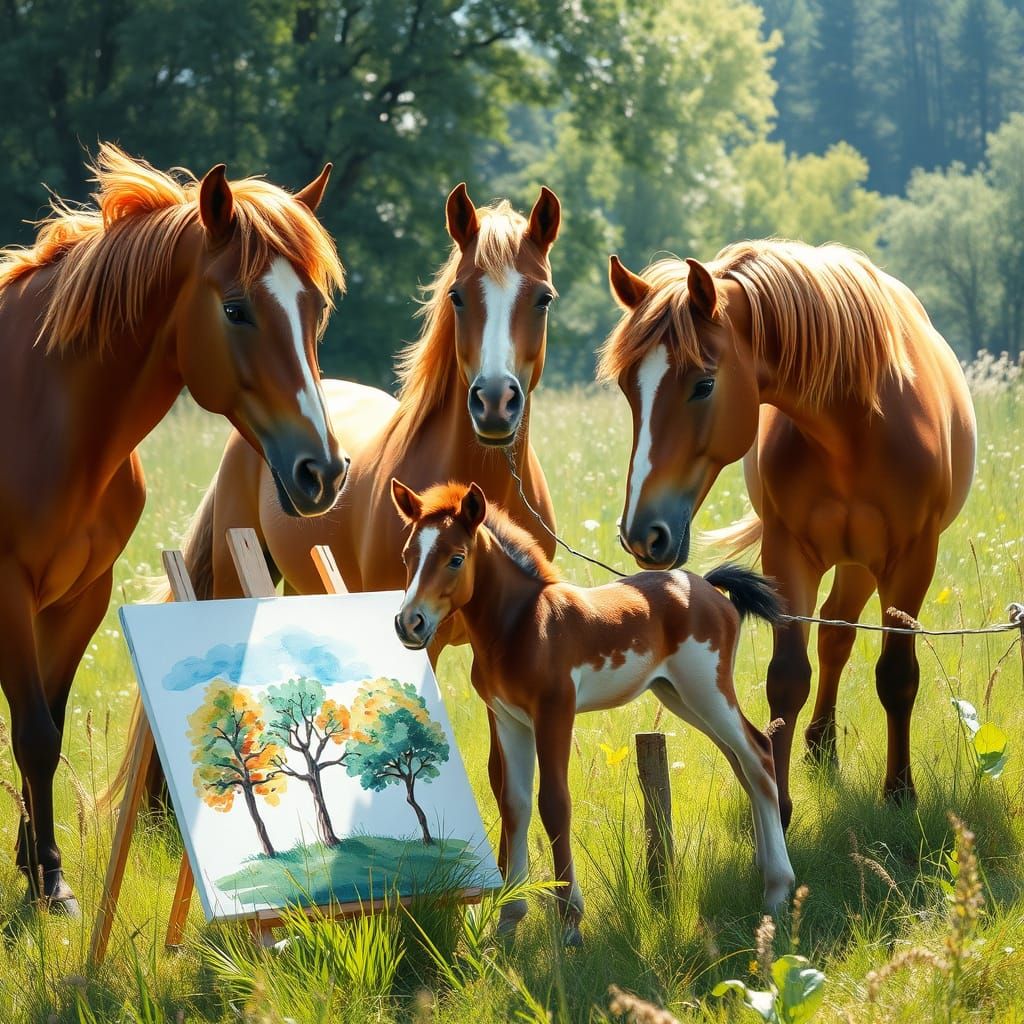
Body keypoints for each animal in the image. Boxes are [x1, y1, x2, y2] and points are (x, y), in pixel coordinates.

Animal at [0, 143, 349, 912]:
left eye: (315, 308)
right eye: (236, 308)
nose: (323, 471)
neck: (35, 411)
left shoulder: (79, 599)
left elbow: (46, 725)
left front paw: (40, 868)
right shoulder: (8, 591)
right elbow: (33, 732)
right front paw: (51, 886)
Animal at [390, 478, 796, 943]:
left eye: (456, 558)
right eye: (407, 555)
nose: (409, 623)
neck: (520, 625)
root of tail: (709, 587)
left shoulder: (555, 712)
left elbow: (554, 804)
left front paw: (570, 921)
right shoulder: (509, 718)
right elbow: (514, 804)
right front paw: (509, 918)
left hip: (707, 691)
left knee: (759, 754)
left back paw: (777, 889)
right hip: (680, 696)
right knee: (742, 762)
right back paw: (765, 871)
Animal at [599, 240, 976, 828]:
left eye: (704, 384)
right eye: (627, 387)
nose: (643, 534)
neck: (854, 428)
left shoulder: (912, 559)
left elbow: (897, 675)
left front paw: (899, 793)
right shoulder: (787, 554)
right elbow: (788, 676)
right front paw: (778, 803)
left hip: (865, 561)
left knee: (842, 634)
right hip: (850, 561)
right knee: (835, 634)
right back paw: (820, 745)